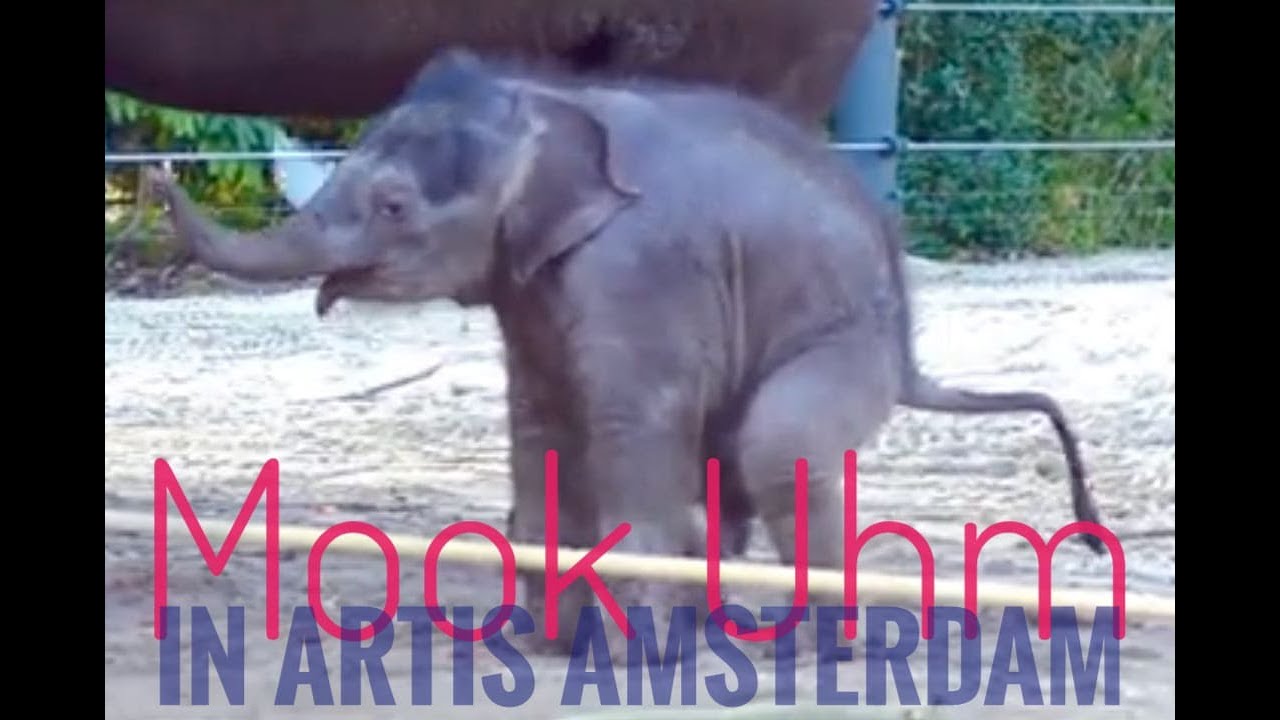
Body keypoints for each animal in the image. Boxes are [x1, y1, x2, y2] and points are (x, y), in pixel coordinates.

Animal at [142, 49, 1105, 657]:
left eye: (392, 207)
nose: (153, 175)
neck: (544, 110)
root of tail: (909, 349)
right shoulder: (532, 280)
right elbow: (540, 420)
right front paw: (549, 643)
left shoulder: (636, 266)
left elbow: (624, 417)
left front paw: (634, 653)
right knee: (737, 458)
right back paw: (727, 631)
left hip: (843, 341)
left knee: (778, 446)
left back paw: (812, 651)